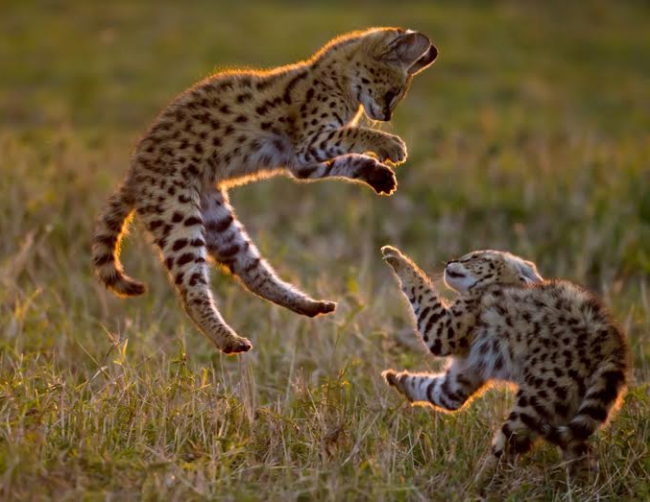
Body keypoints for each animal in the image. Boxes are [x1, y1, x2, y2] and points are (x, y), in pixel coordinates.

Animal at [91, 29, 438, 354]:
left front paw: (376, 172)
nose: (386, 116)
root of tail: (132, 175)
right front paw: (389, 144)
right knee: (190, 291)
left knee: (250, 271)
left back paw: (306, 305)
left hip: (216, 220)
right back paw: (228, 340)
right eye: (393, 92)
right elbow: (355, 133)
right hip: (178, 216)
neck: (336, 77)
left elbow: (347, 159)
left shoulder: (301, 161)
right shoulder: (309, 142)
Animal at [380, 245, 628, 484]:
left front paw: (397, 257)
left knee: (506, 450)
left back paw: (476, 485)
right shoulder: (462, 377)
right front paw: (398, 380)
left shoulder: (443, 330)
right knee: (579, 451)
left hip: (534, 401)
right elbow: (437, 392)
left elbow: (421, 290)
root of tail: (614, 348)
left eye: (475, 258)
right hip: (569, 408)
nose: (451, 261)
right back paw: (581, 488)